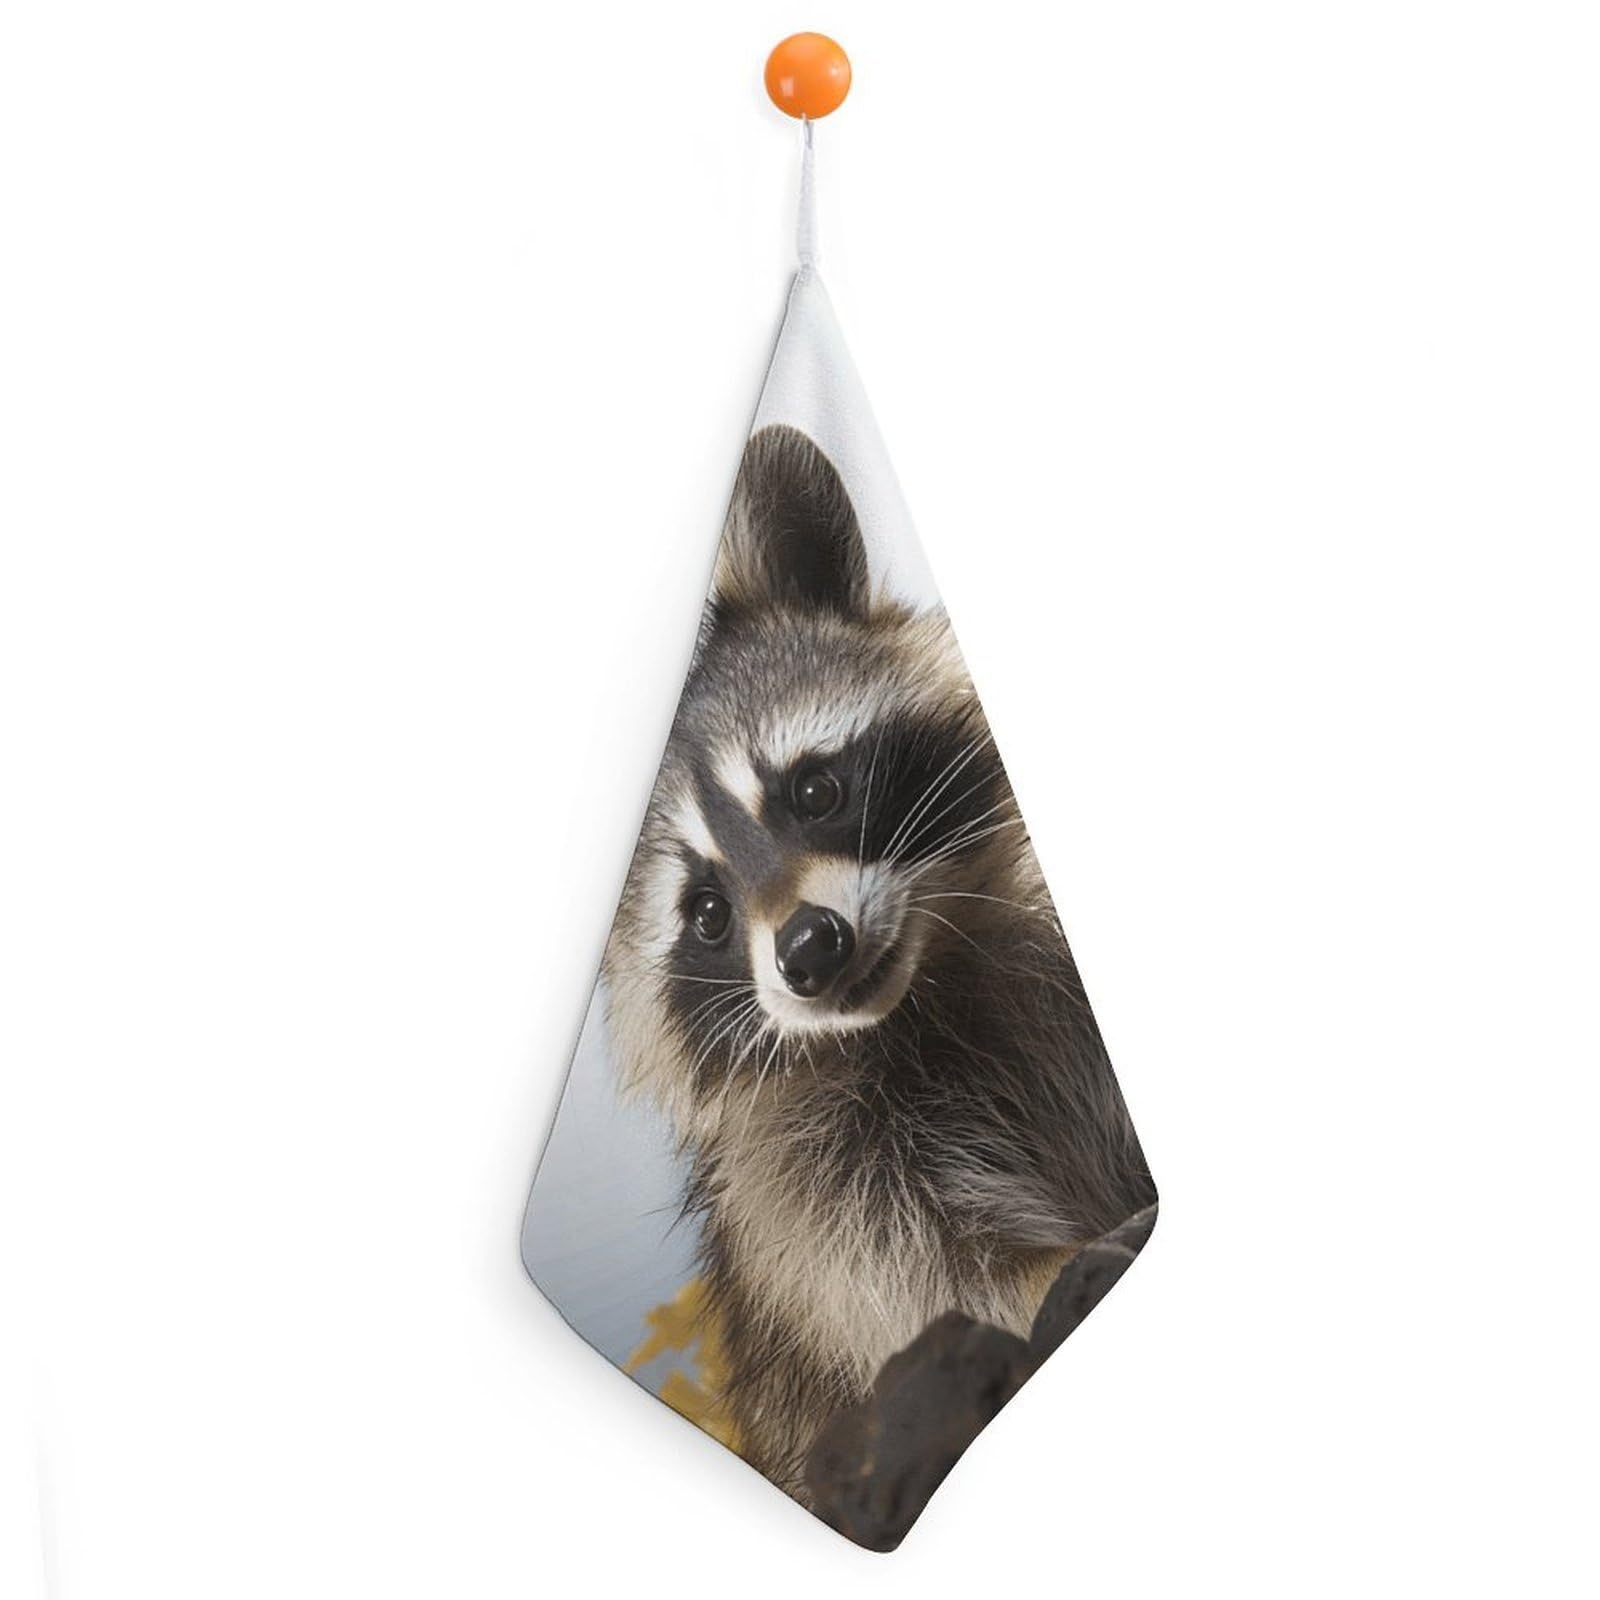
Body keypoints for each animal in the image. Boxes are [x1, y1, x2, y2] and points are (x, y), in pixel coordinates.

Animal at [604, 424, 1155, 1494]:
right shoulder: (800, 1183)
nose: (812, 949)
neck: (928, 987)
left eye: (815, 790)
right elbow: (919, 1286)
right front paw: (1049, 1274)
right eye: (705, 915)